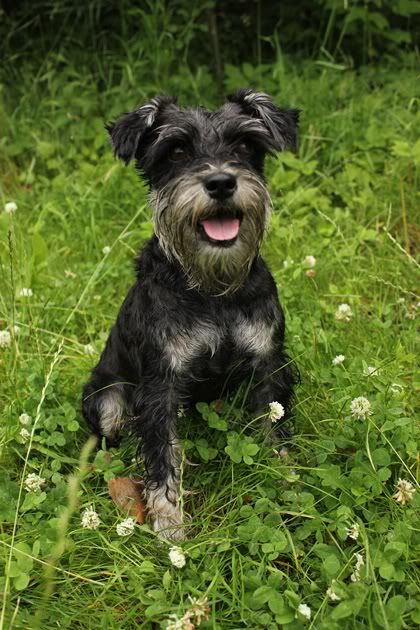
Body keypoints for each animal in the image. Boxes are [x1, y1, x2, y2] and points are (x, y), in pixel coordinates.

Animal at [82, 89, 299, 539]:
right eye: (176, 150)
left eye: (244, 145)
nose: (221, 182)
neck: (212, 288)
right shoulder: (160, 386)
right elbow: (162, 457)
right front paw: (169, 525)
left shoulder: (268, 364)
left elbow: (274, 429)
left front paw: (286, 483)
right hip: (108, 399)